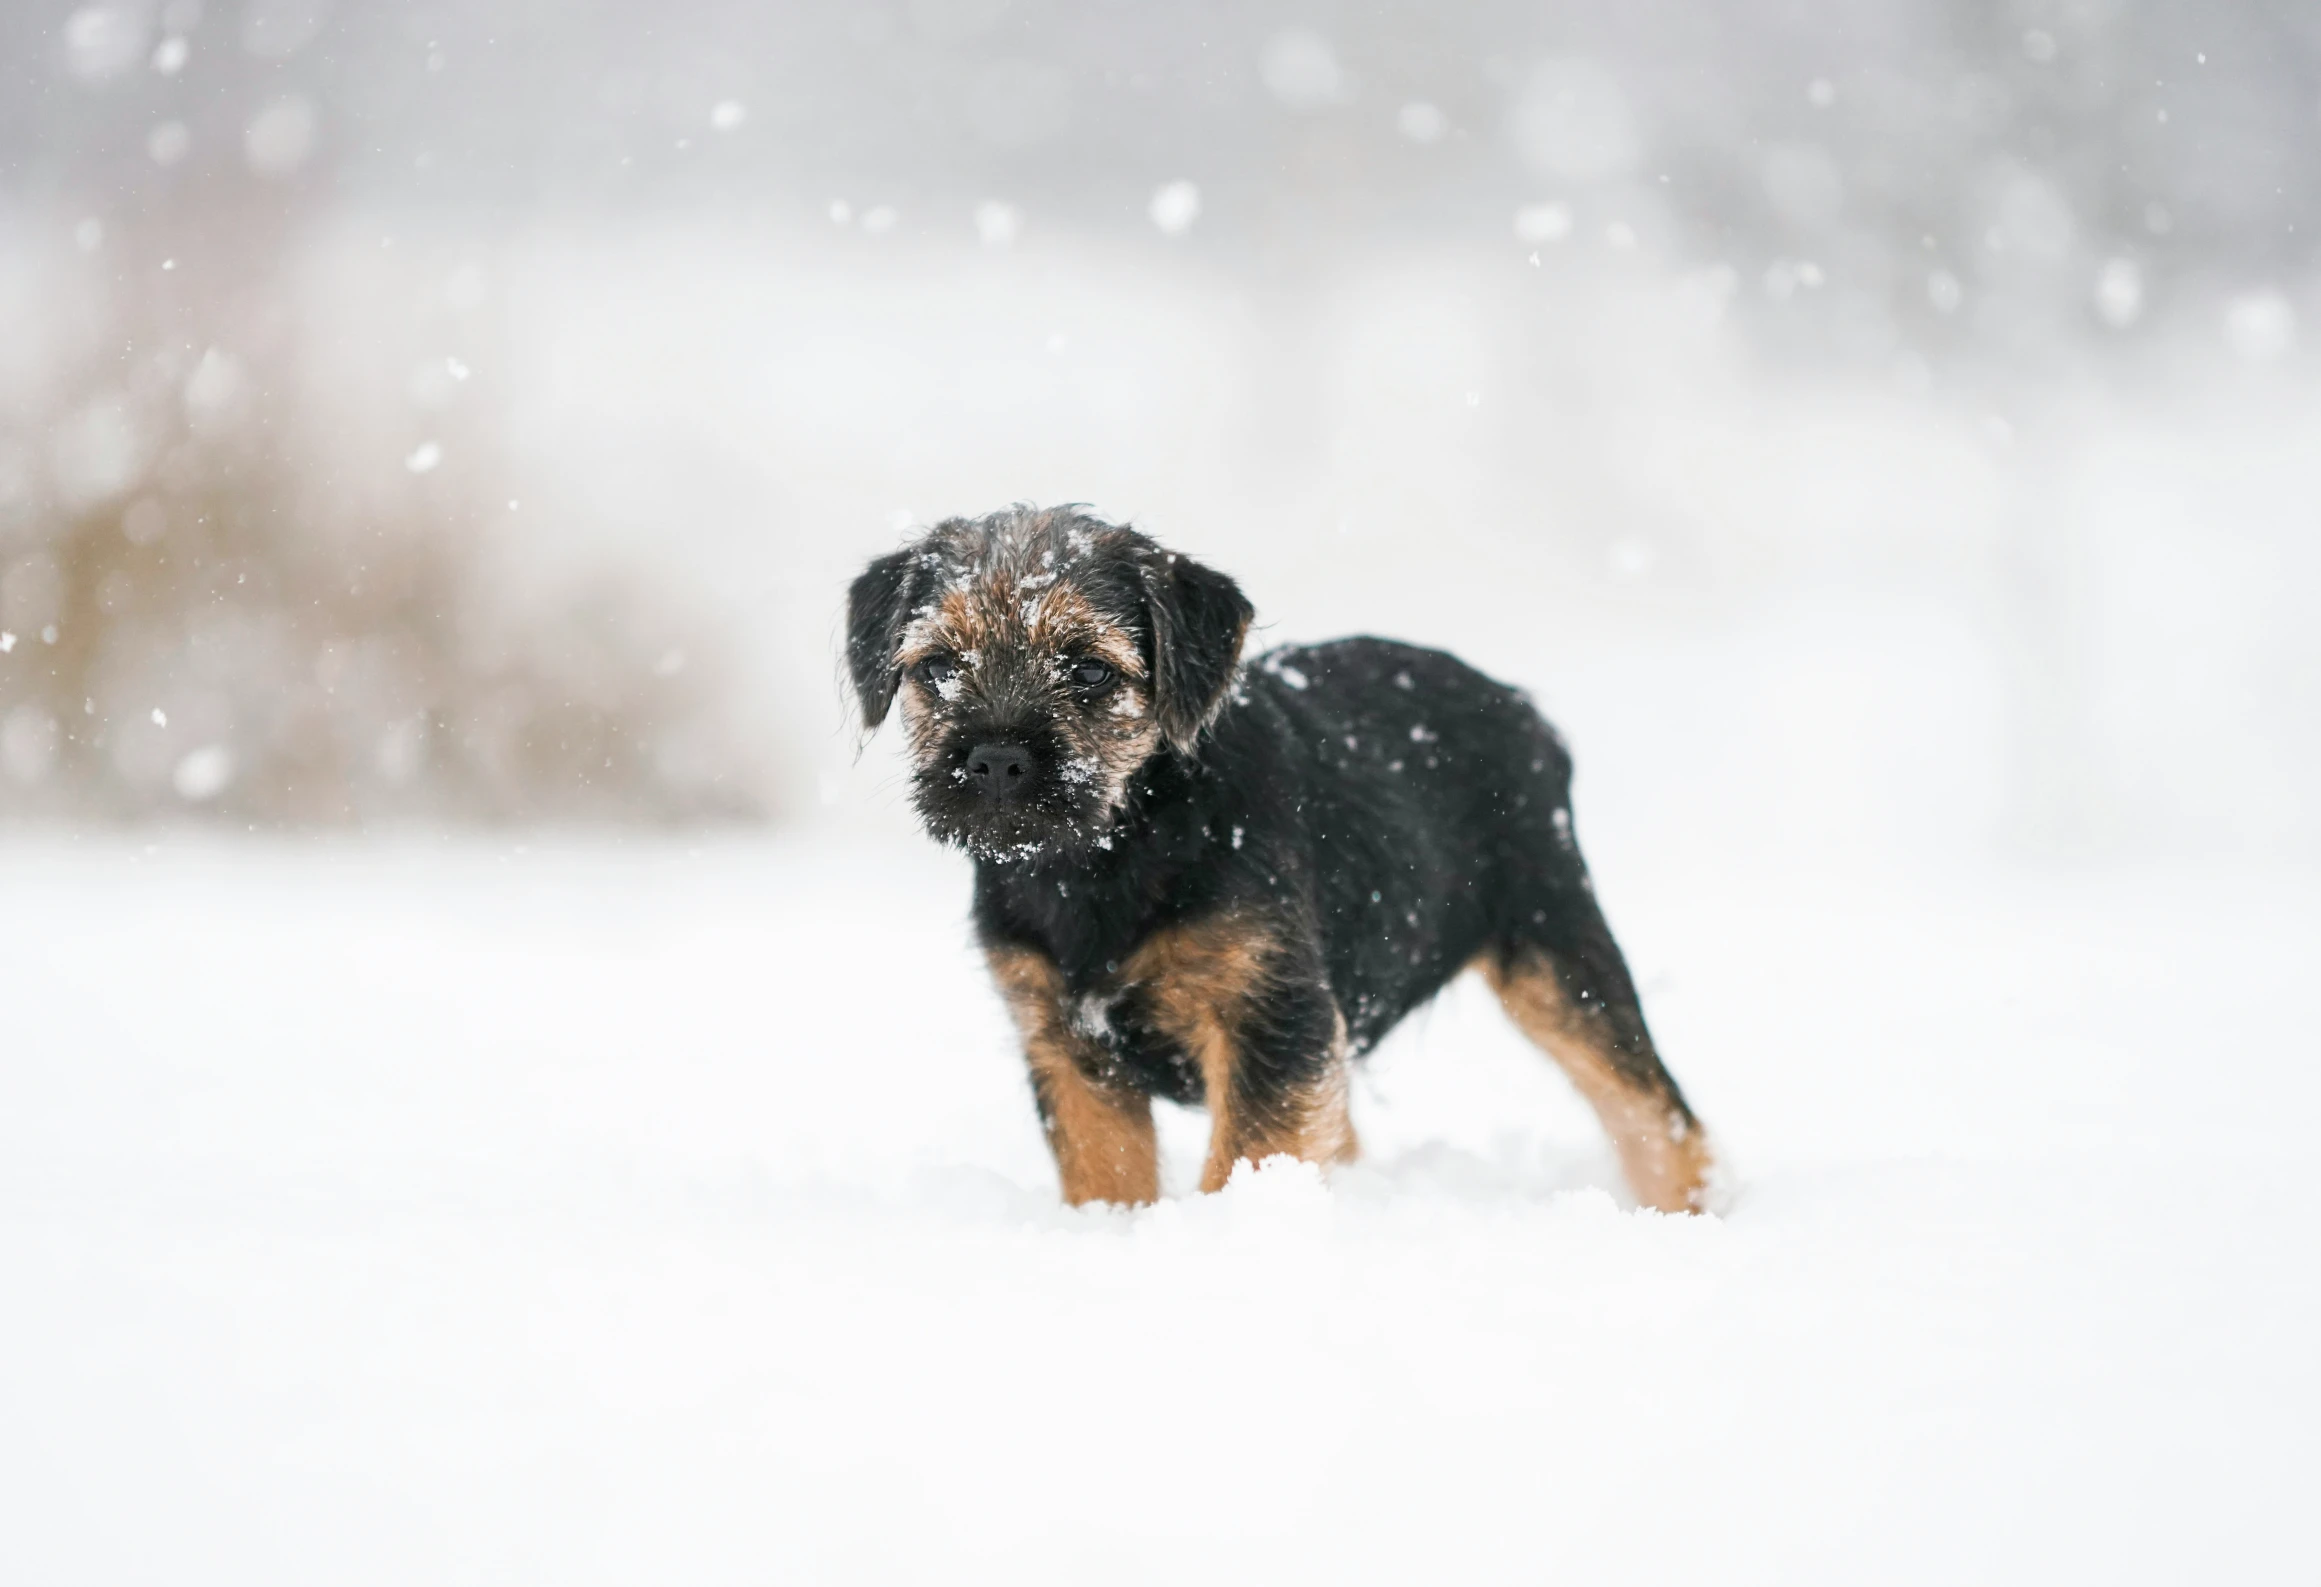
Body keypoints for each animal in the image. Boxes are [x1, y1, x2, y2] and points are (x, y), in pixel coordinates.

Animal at [844, 508, 1717, 1215]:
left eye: (1088, 667)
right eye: (937, 665)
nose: (994, 759)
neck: (1108, 855)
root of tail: (1521, 707)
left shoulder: (1270, 1015)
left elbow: (1249, 1153)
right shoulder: (1068, 1047)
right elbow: (1107, 1171)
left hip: (1556, 947)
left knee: (1655, 1112)